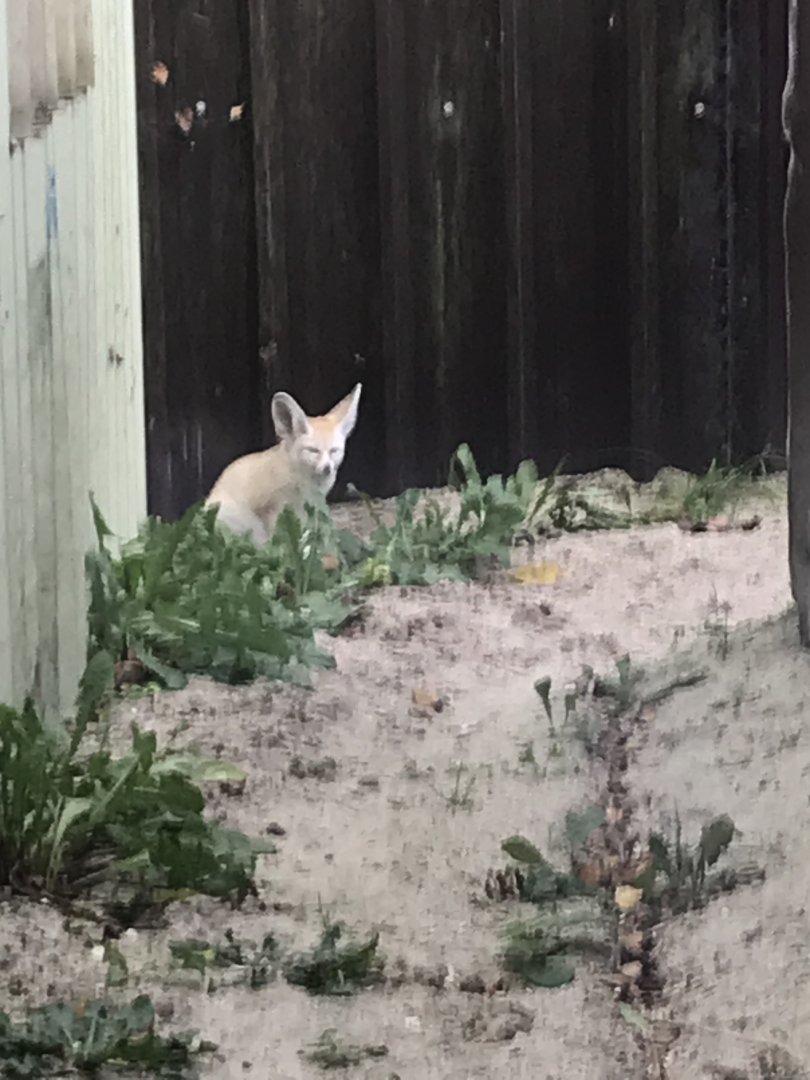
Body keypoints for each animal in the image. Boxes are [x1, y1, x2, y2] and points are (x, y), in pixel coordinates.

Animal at [204, 383, 362, 545]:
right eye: (313, 450)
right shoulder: (272, 509)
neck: (303, 481)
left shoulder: (307, 510)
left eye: (334, 451)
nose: (327, 468)